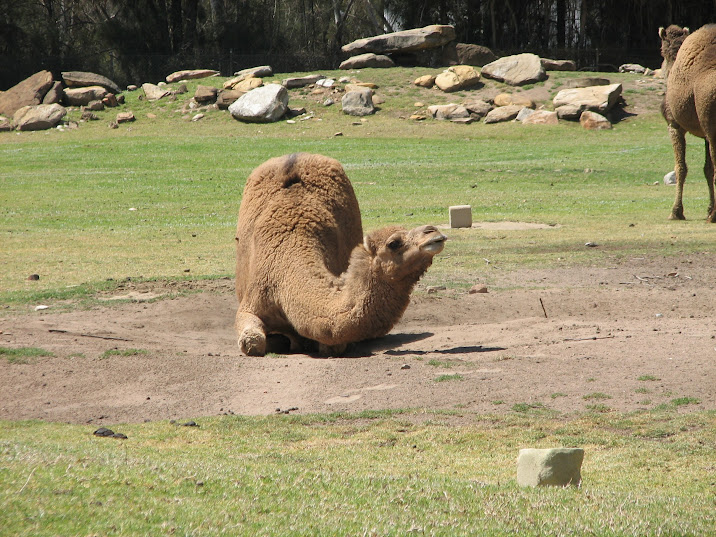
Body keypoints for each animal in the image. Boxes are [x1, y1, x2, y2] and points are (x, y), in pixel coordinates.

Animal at [659, 24, 716, 222]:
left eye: (661, 50)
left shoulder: (674, 125)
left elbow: (680, 168)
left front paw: (676, 212)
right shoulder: (705, 134)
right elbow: (707, 169)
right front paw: (708, 209)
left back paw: (714, 216)